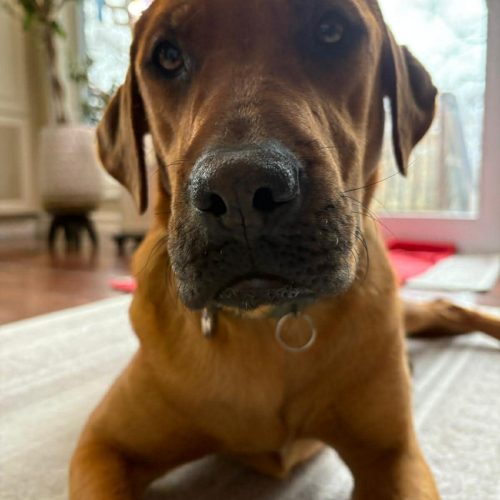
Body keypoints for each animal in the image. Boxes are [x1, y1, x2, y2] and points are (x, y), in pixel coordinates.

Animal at [70, 0, 500, 498]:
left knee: (448, 307)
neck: (266, 322)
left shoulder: (393, 456)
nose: (238, 188)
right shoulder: (102, 447)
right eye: (168, 57)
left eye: (331, 30)